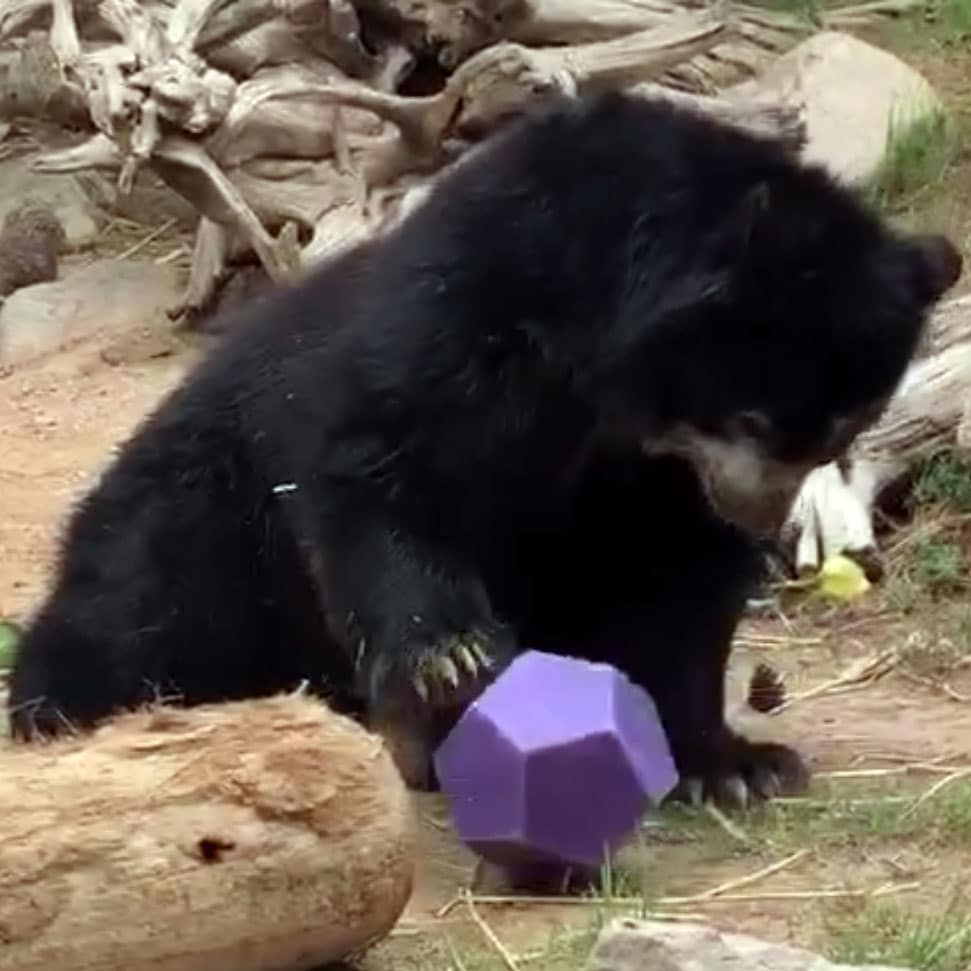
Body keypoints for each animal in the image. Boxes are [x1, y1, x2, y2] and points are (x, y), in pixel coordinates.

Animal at [7, 91, 961, 808]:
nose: (756, 516)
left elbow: (679, 593)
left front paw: (734, 764)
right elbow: (384, 464)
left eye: (841, 429)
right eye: (756, 417)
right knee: (140, 607)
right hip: (198, 510)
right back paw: (64, 706)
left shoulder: (657, 478)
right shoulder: (467, 316)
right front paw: (450, 657)